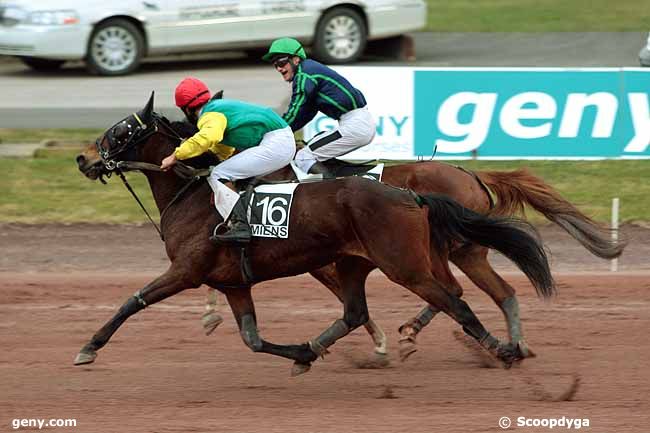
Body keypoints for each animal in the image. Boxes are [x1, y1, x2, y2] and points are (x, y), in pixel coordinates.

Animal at [74, 93, 552, 372]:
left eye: (120, 130)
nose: (83, 159)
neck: (192, 196)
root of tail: (413, 194)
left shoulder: (186, 272)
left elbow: (133, 301)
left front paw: (90, 346)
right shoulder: (235, 283)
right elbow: (252, 338)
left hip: (409, 264)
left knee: (456, 300)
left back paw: (503, 349)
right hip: (381, 259)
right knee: (368, 308)